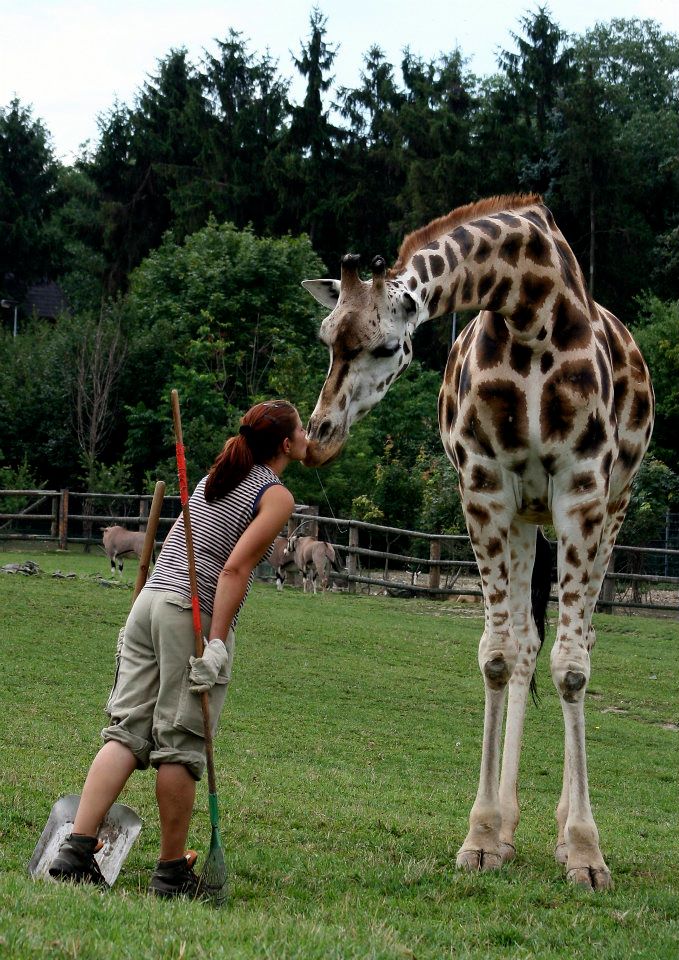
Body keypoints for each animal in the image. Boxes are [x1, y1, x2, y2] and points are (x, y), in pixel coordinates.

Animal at [302, 191, 652, 888]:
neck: (530, 309)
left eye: (387, 346)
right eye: (327, 338)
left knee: (578, 642)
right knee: (525, 646)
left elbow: (573, 667)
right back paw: (513, 824)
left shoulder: (583, 489)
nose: (320, 435)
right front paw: (484, 837)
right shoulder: (486, 487)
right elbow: (498, 654)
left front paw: (585, 852)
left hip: (612, 508)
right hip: (526, 519)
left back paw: (560, 828)